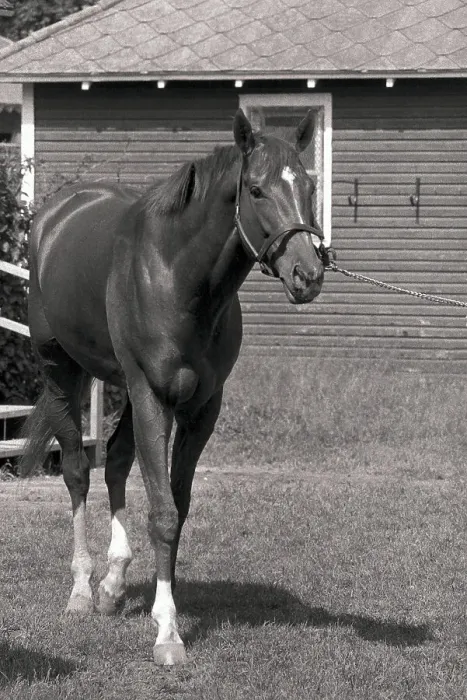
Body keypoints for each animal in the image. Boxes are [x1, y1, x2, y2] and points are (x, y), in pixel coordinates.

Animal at [20, 109, 325, 665]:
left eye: (309, 186)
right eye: (255, 189)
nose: (307, 274)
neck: (177, 276)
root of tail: (56, 215)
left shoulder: (201, 408)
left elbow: (176, 509)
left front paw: (160, 605)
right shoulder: (151, 396)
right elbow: (161, 512)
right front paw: (168, 632)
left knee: (116, 463)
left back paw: (114, 583)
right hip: (62, 373)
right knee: (77, 471)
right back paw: (81, 590)